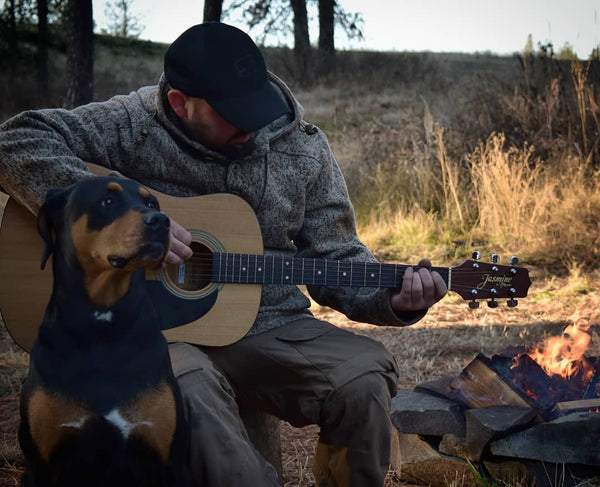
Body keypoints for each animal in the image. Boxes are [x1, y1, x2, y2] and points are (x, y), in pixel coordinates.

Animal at [19, 177, 188, 486]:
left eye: (152, 202)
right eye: (107, 202)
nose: (161, 221)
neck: (103, 329)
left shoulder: (170, 459)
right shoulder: (38, 464)